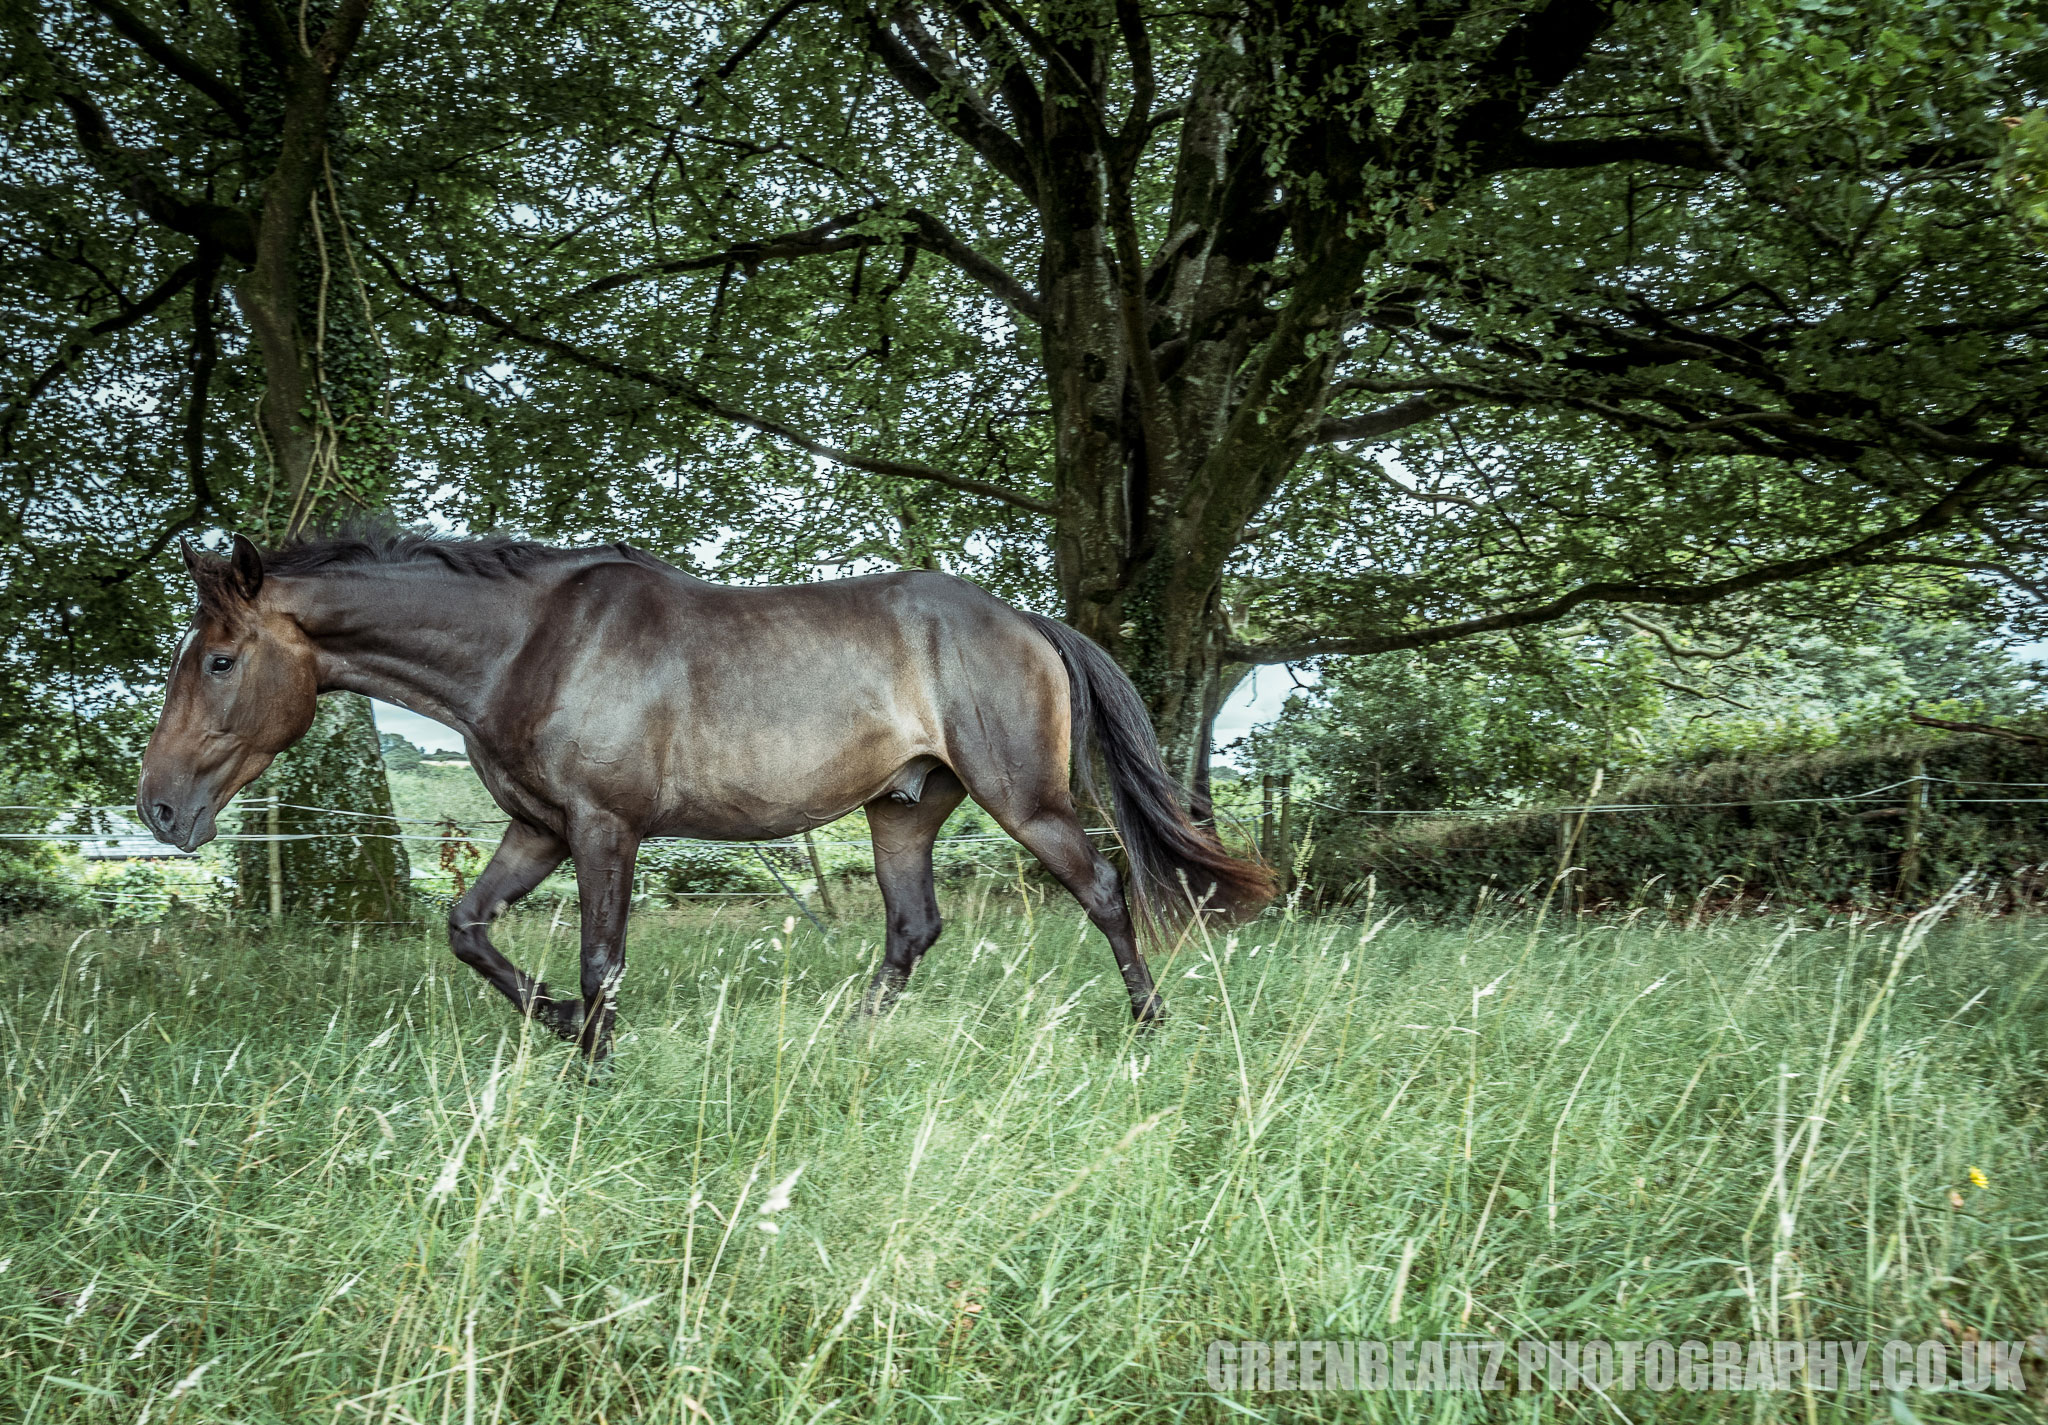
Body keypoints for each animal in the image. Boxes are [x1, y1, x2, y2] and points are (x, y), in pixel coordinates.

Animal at [132, 532, 1261, 1056]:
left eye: (221, 660)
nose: (158, 809)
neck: (527, 644)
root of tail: (1024, 618)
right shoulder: (537, 830)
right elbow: (466, 928)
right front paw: (559, 1024)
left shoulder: (603, 829)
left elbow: (601, 960)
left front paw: (592, 1054)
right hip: (901, 808)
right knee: (911, 926)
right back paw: (847, 1037)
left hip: (1021, 799)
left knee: (1104, 889)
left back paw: (1149, 1028)